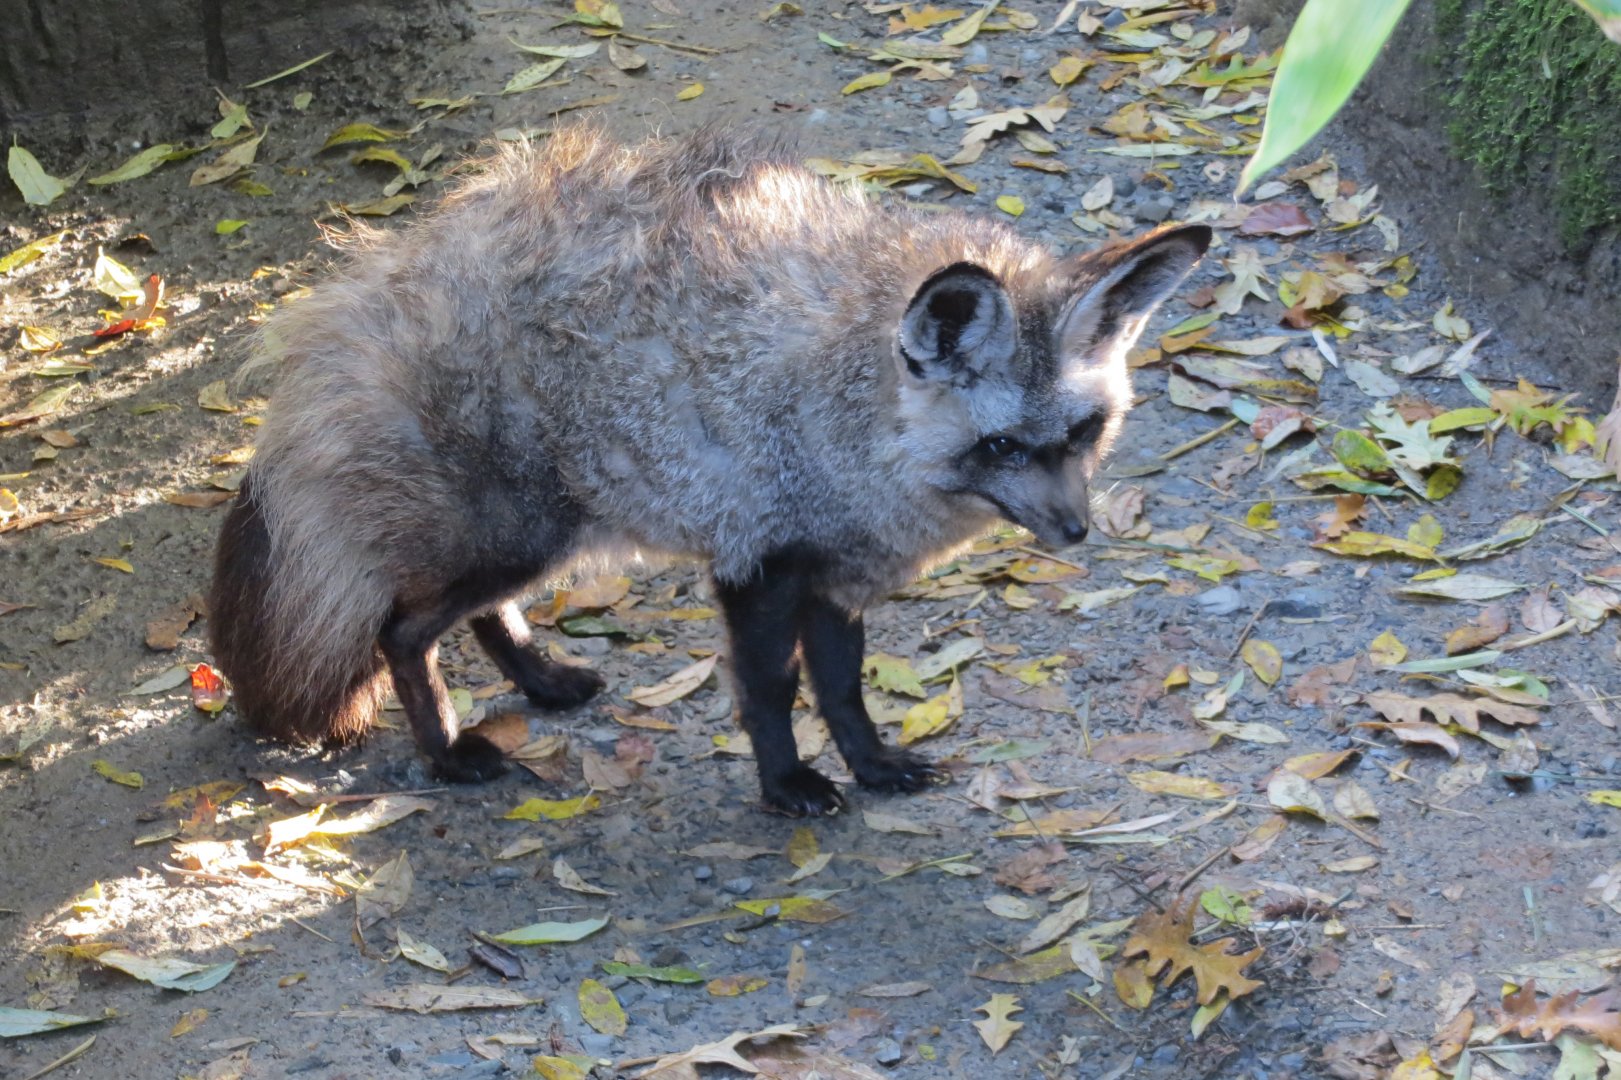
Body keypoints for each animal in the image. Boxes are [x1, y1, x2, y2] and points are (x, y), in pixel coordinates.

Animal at [208, 126, 1209, 817]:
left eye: (1081, 432)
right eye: (1001, 446)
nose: (1074, 529)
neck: (838, 416)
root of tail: (380, 276)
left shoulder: (835, 576)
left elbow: (843, 690)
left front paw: (871, 764)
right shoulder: (757, 563)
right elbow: (770, 691)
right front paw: (787, 783)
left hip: (545, 533)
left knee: (478, 615)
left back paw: (540, 680)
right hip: (519, 537)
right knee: (405, 632)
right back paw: (447, 752)